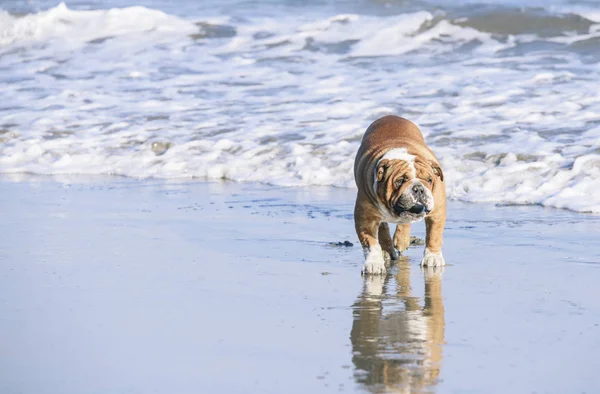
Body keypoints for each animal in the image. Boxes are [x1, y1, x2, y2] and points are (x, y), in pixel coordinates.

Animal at [352, 114, 446, 274]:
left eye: (429, 180)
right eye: (400, 181)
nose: (418, 188)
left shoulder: (437, 211)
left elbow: (434, 234)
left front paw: (432, 258)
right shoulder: (365, 216)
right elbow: (371, 243)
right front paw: (374, 263)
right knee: (383, 227)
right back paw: (387, 250)